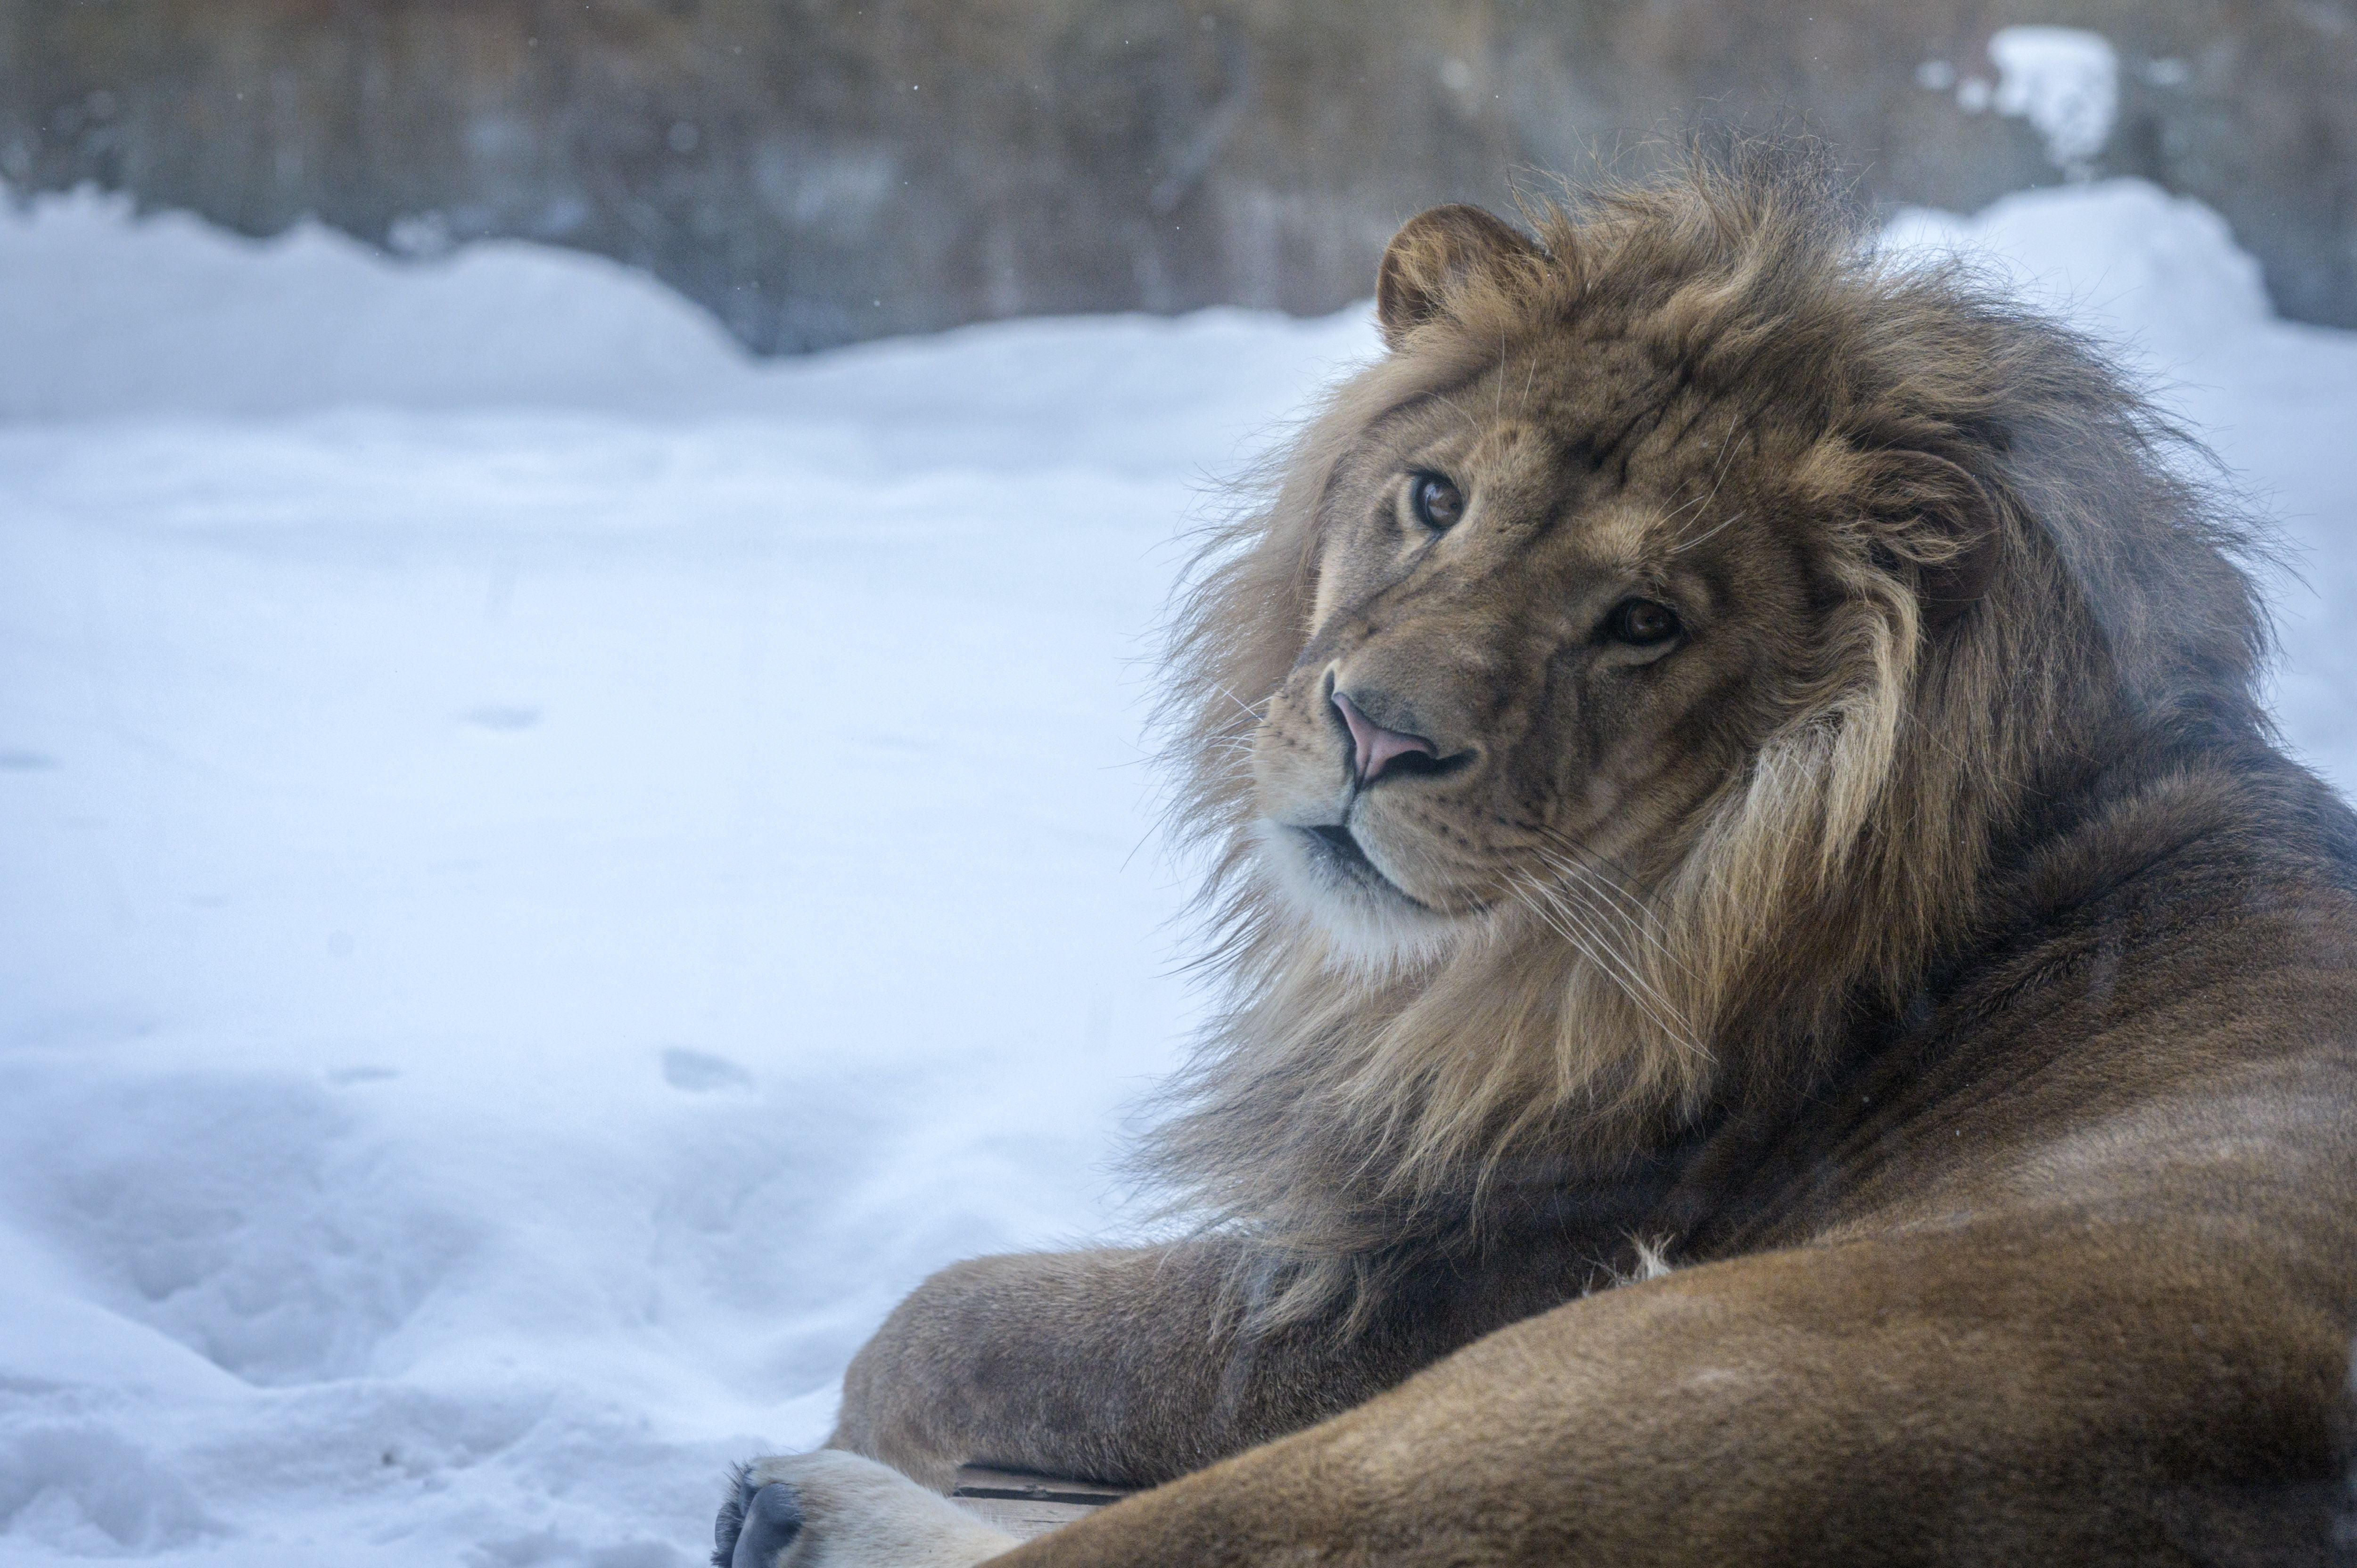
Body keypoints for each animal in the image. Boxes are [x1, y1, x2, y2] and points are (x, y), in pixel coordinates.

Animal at [714, 149, 2357, 1566]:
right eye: (1435, 498)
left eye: (1645, 622)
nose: (1377, 734)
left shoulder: (1408, 1294)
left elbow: (943, 1319)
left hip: (1618, 1380)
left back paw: (798, 1506)